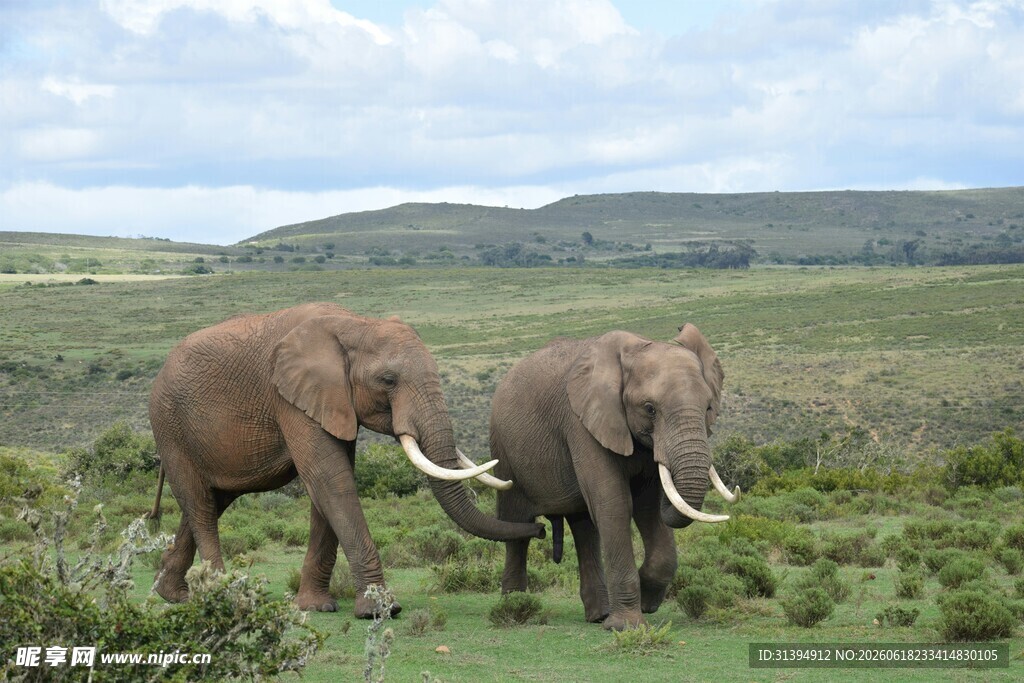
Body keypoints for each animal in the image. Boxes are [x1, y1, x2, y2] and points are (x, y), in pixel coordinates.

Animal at [147, 302, 544, 618]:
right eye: (388, 380)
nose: (540, 528)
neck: (356, 323)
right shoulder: (290, 397)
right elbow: (330, 481)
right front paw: (381, 609)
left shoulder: (332, 401)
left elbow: (328, 488)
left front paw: (315, 606)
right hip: (169, 423)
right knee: (200, 503)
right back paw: (221, 595)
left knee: (211, 502)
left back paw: (173, 593)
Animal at [490, 324, 739, 630]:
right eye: (649, 408)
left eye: (708, 408)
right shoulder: (583, 422)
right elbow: (615, 505)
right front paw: (626, 626)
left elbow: (648, 509)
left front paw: (646, 600)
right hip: (503, 450)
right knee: (516, 524)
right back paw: (515, 605)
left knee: (584, 528)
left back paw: (598, 615)